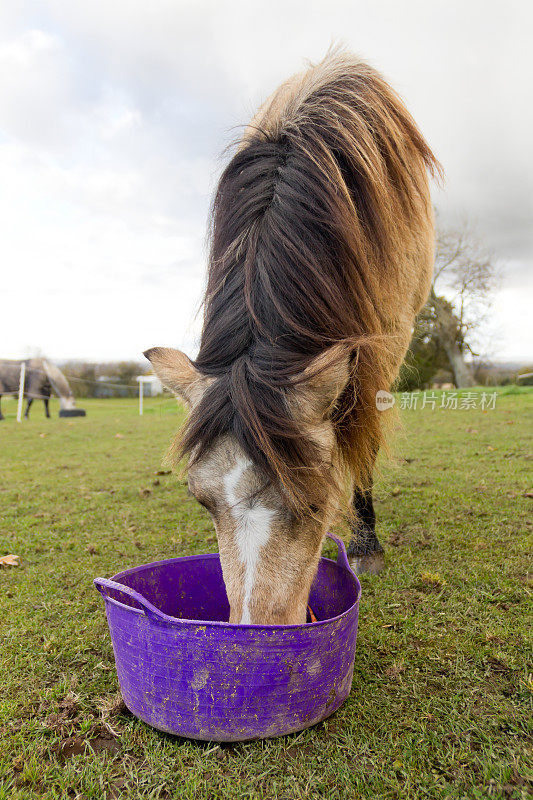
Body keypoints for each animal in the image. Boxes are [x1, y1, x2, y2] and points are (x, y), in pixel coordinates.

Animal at [143, 48, 438, 624]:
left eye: (319, 502)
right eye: (201, 500)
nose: (254, 632)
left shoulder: (383, 344)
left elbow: (363, 443)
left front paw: (366, 546)